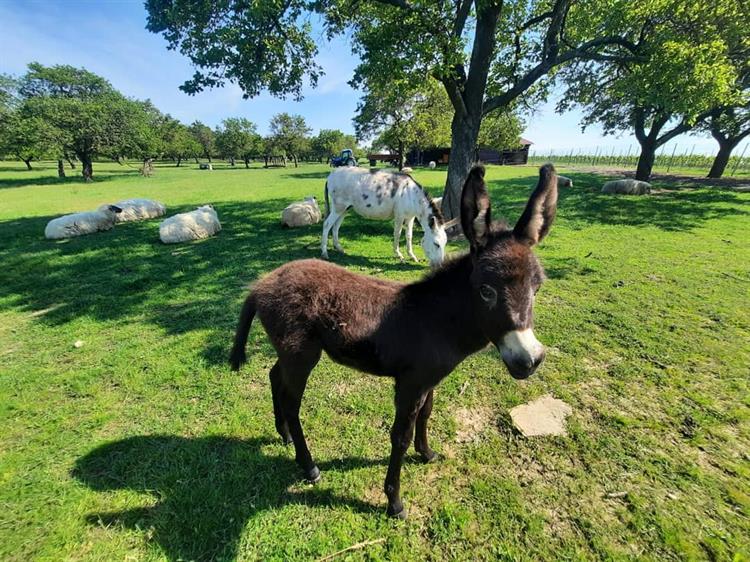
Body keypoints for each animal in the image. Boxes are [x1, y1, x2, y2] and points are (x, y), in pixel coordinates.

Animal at [229, 163, 560, 516]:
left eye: (537, 288)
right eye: (486, 291)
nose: (529, 360)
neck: (436, 318)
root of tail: (261, 285)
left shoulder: (428, 379)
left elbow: (426, 414)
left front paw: (427, 453)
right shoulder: (410, 383)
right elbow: (399, 435)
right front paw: (394, 500)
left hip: (290, 352)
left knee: (274, 376)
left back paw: (285, 436)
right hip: (302, 354)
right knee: (293, 403)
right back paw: (309, 466)